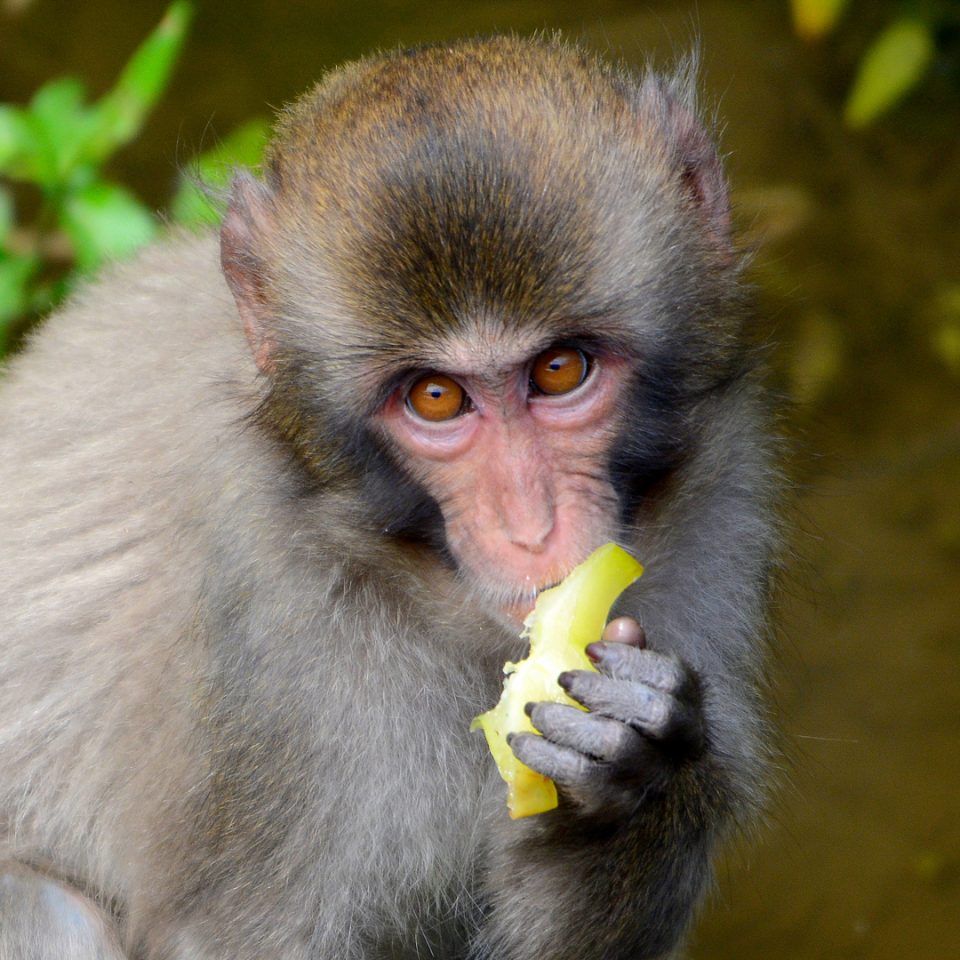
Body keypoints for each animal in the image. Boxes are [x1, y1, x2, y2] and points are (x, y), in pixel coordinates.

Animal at [0, 35, 777, 960]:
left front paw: (631, 781)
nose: (531, 527)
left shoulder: (714, 510)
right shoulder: (270, 652)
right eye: (435, 398)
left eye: (560, 370)